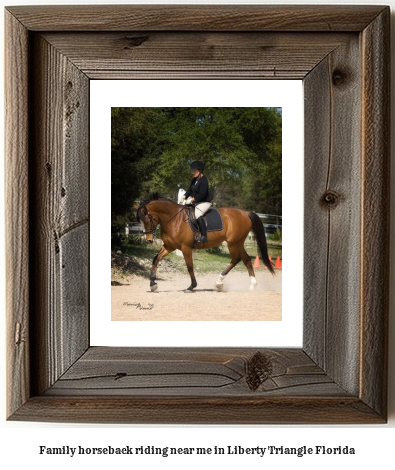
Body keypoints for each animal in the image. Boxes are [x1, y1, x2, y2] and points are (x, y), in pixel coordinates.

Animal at [136, 193, 276, 292]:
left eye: (147, 219)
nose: (149, 240)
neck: (174, 219)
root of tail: (245, 213)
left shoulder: (185, 247)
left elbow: (190, 266)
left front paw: (192, 286)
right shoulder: (169, 246)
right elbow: (156, 259)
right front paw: (153, 284)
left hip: (233, 243)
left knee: (236, 259)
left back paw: (219, 282)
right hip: (238, 243)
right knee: (246, 259)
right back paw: (251, 285)